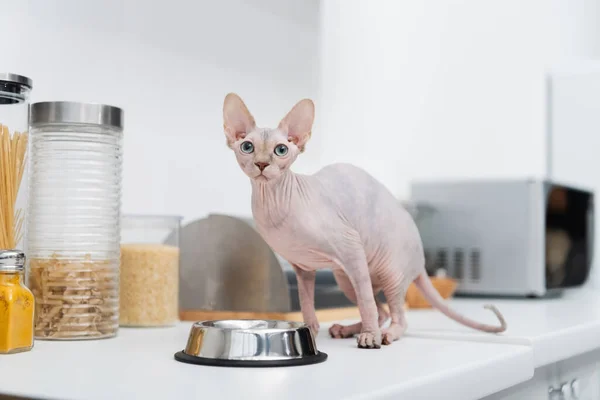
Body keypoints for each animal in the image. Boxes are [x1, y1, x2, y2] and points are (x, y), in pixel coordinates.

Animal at [221, 93, 506, 346]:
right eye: (247, 147)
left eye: (281, 150)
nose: (261, 164)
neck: (274, 205)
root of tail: (422, 258)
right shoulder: (303, 268)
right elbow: (306, 303)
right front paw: (310, 329)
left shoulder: (351, 246)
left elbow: (367, 302)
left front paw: (370, 338)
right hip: (344, 278)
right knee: (383, 312)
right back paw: (347, 329)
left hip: (386, 271)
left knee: (396, 315)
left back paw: (383, 334)